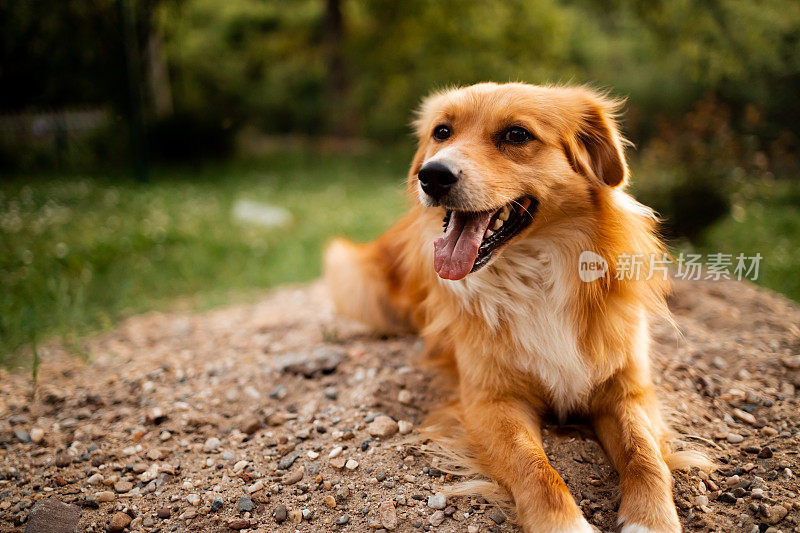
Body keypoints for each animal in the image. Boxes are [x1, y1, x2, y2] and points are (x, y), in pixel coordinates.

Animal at [324, 83, 692, 532]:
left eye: (516, 135)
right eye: (442, 131)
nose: (432, 175)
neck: (535, 274)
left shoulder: (628, 387)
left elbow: (645, 452)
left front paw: (651, 517)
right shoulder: (491, 402)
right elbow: (534, 466)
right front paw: (563, 523)